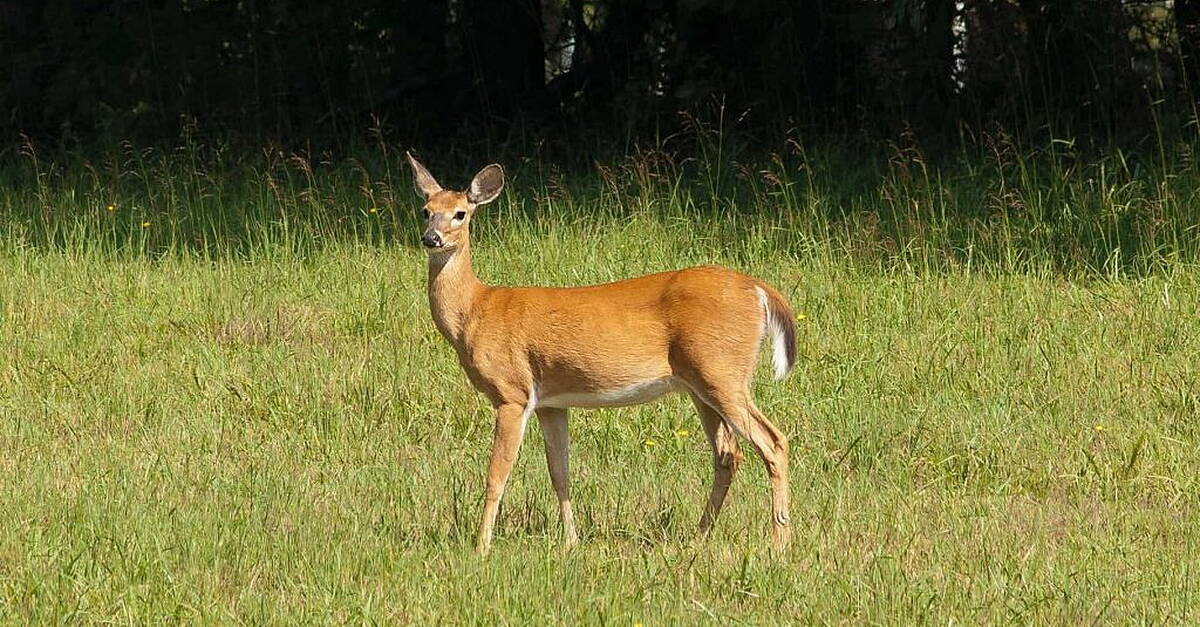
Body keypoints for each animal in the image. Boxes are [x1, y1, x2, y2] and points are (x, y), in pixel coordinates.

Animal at [406, 152, 798, 554]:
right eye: (425, 210)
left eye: (460, 213)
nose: (431, 238)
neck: (475, 310)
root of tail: (760, 290)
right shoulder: (550, 402)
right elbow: (559, 473)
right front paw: (571, 542)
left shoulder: (511, 393)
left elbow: (497, 474)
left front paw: (481, 547)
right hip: (700, 383)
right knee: (727, 453)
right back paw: (700, 535)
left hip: (722, 371)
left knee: (773, 442)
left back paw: (780, 542)